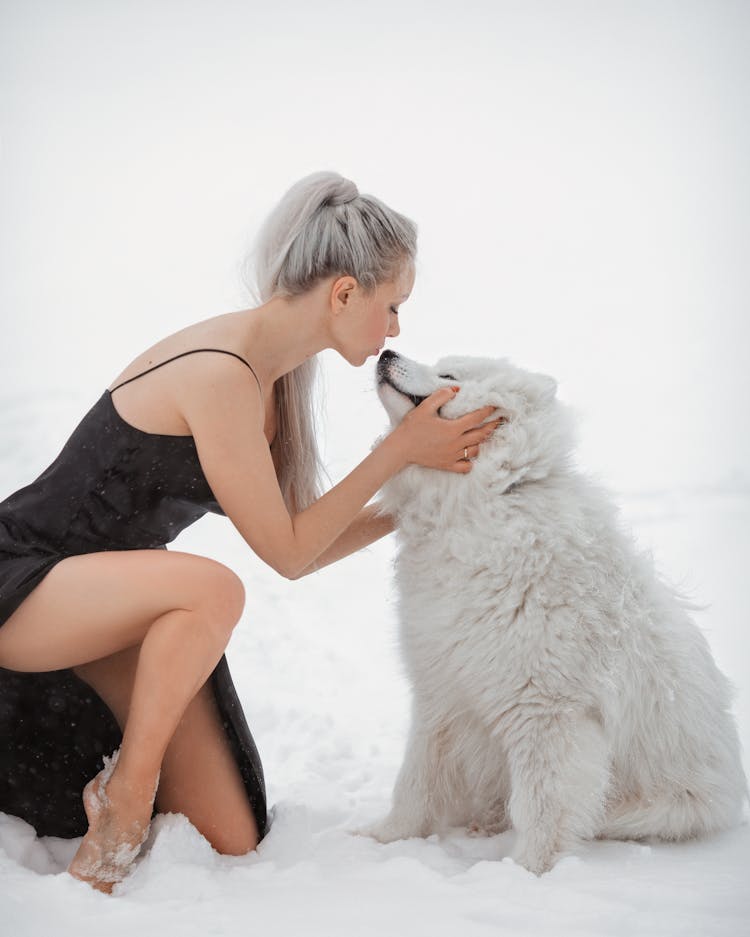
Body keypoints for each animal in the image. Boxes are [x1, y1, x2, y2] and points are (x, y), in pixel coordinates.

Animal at [364, 348, 748, 872]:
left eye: (449, 375)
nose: (386, 352)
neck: (483, 504)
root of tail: (731, 792)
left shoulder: (547, 710)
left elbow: (542, 806)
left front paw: (525, 872)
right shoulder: (441, 690)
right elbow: (414, 783)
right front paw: (381, 841)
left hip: (662, 807)